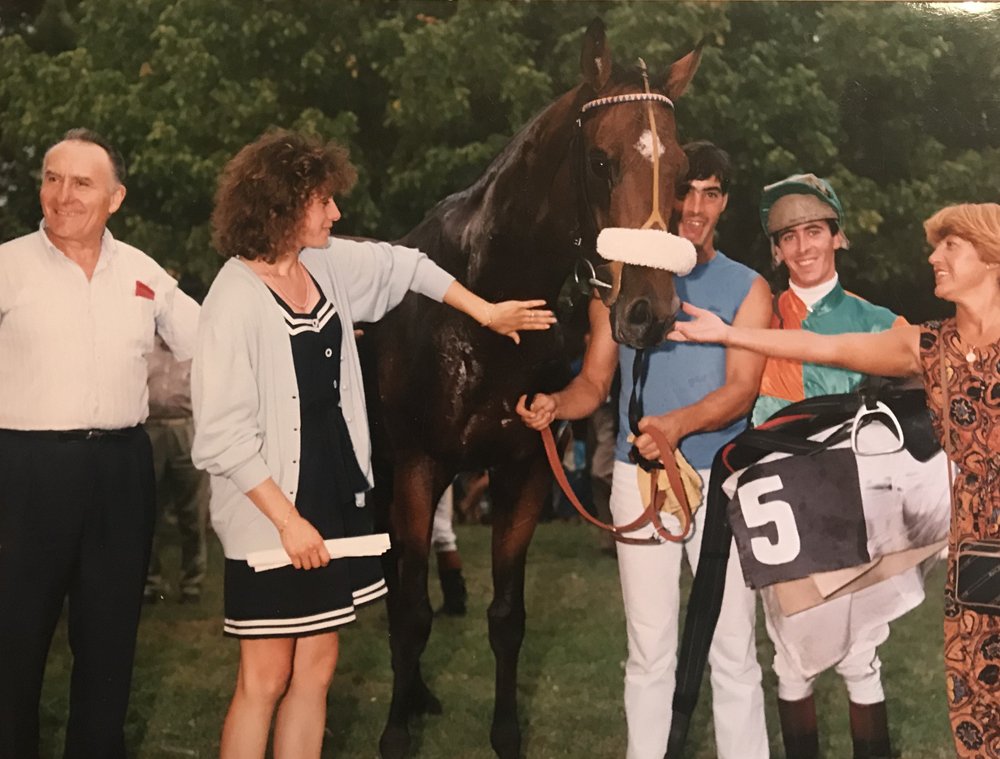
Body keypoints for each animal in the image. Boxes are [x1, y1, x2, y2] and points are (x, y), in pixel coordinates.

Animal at [365, 19, 701, 758]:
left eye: (680, 170)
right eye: (601, 161)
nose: (651, 311)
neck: (484, 305)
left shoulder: (523, 470)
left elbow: (506, 616)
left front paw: (505, 733)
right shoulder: (419, 466)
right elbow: (413, 611)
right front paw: (395, 730)